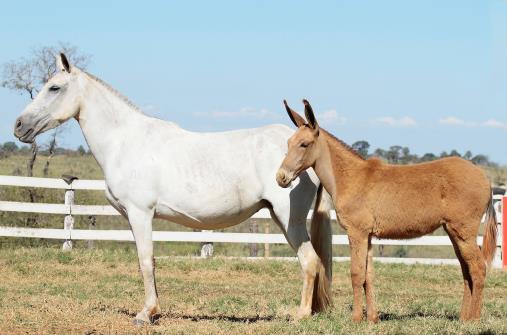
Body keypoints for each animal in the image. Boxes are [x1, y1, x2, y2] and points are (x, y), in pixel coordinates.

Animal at [12, 53, 334, 324]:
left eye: (54, 88)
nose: (19, 126)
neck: (125, 141)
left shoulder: (140, 213)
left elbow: (146, 260)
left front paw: (147, 313)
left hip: (289, 218)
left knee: (309, 261)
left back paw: (300, 315)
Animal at [276, 99, 498, 322]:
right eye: (287, 143)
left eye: (304, 144)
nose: (280, 178)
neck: (351, 178)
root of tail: (484, 178)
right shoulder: (368, 236)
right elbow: (369, 276)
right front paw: (372, 319)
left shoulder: (357, 233)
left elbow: (356, 274)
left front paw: (356, 319)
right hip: (454, 233)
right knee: (466, 271)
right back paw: (464, 317)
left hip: (463, 232)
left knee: (478, 269)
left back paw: (473, 320)